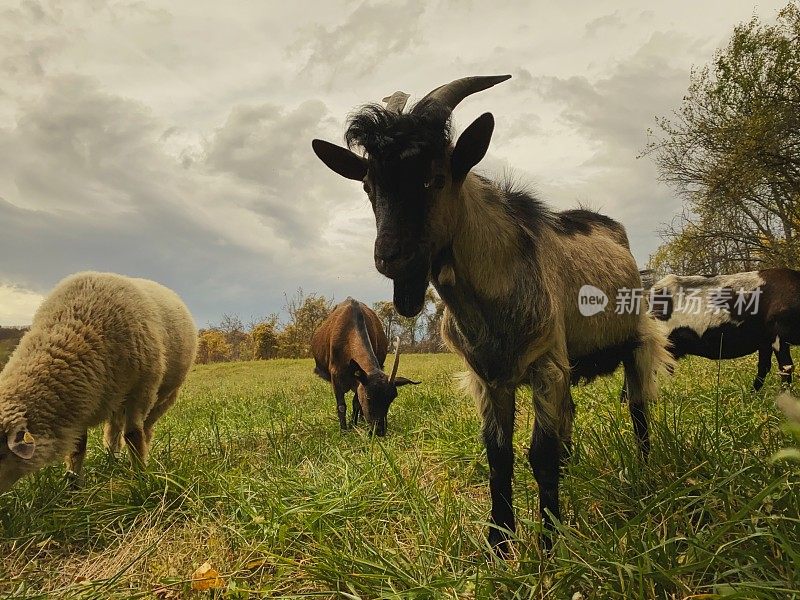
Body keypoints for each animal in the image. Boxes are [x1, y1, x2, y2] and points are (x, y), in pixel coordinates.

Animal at [0, 272, 197, 492]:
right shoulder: (82, 405)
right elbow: (79, 446)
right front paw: (74, 486)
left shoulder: (141, 390)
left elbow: (133, 435)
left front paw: (140, 478)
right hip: (116, 398)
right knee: (114, 428)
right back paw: (112, 459)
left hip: (164, 395)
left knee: (145, 428)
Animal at [310, 300, 418, 436]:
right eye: (368, 397)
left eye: (391, 399)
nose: (379, 431)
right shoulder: (336, 376)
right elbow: (341, 406)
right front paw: (344, 431)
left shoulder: (358, 380)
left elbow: (356, 403)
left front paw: (354, 425)